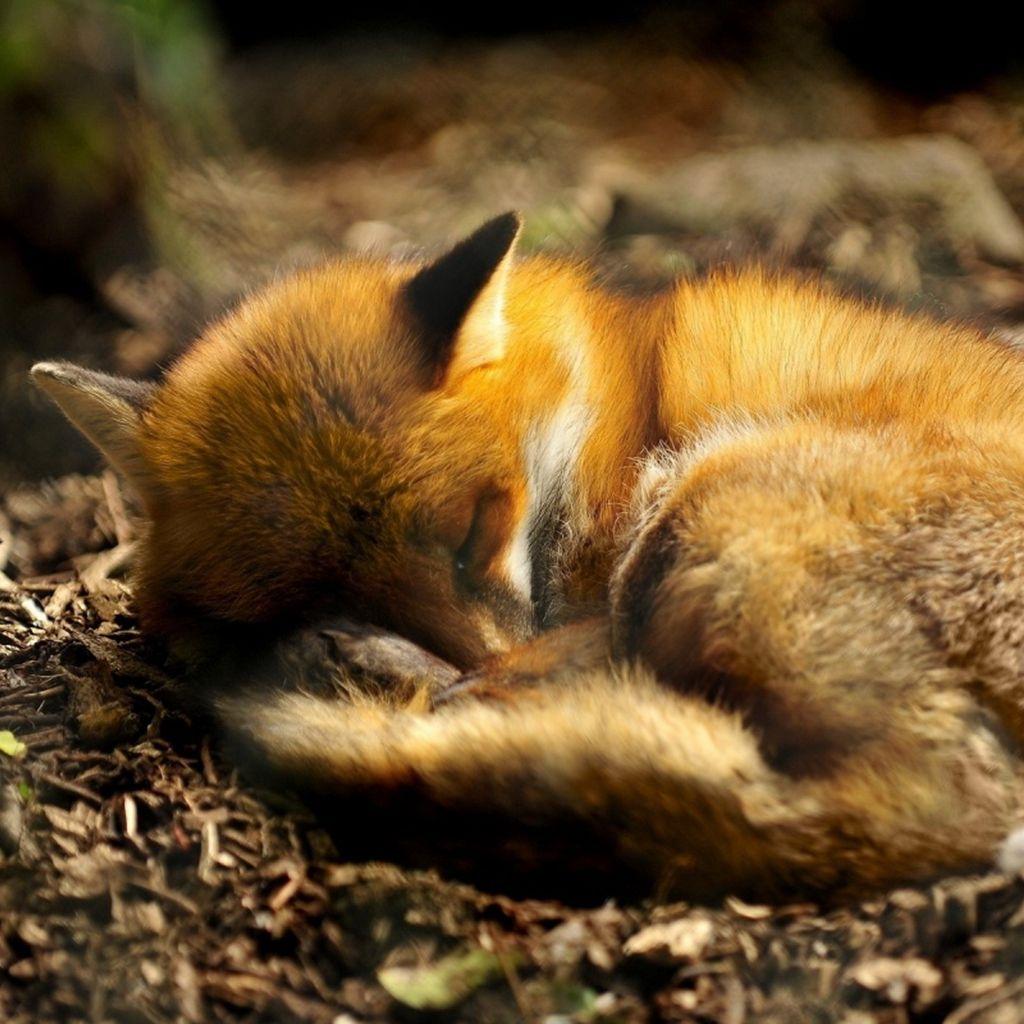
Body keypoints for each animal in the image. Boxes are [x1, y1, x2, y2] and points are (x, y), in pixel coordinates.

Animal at [32, 212, 1024, 903]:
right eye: (314, 588)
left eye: (475, 532)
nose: (481, 660)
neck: (612, 405)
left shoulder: (602, 575)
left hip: (704, 514)